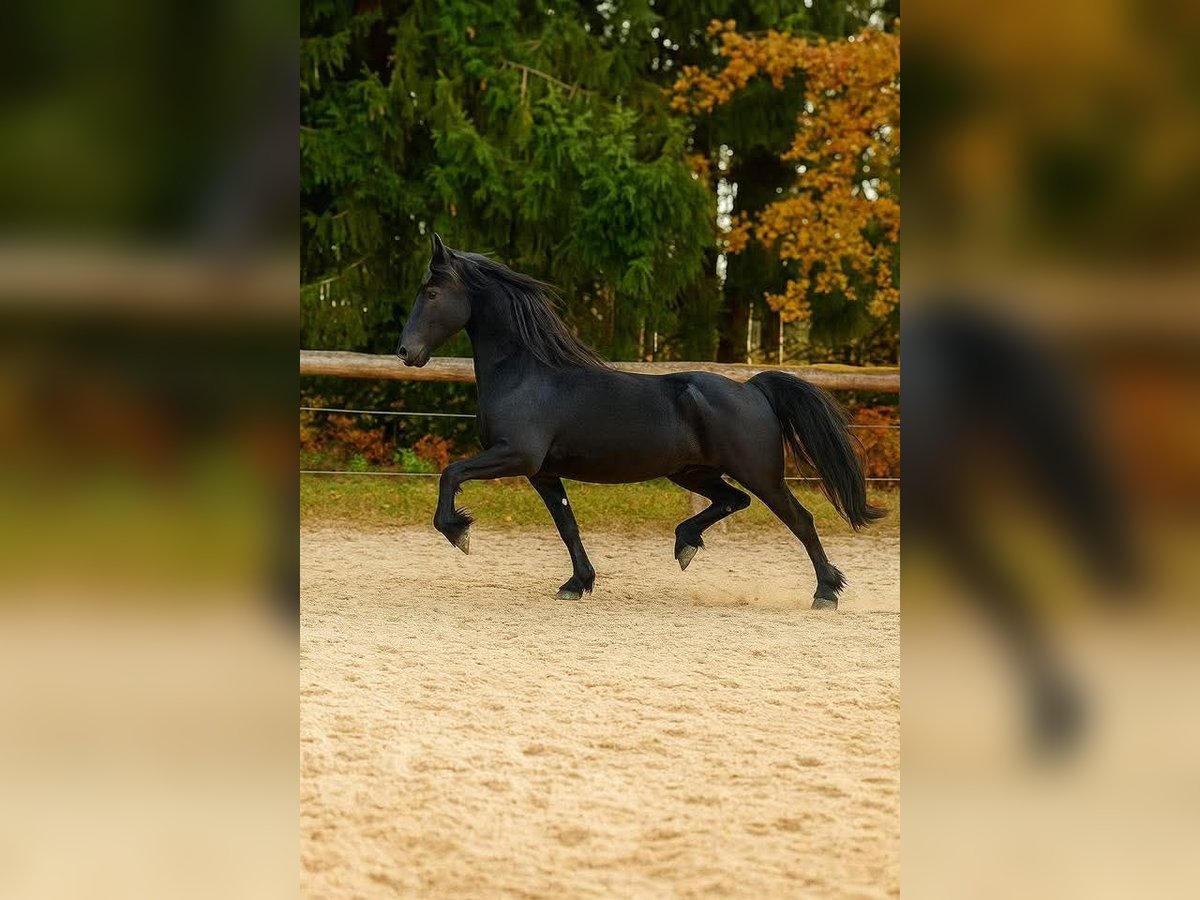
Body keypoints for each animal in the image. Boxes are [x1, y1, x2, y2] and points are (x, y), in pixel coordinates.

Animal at [396, 234, 885, 608]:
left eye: (432, 293)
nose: (405, 352)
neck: (526, 375)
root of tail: (752, 389)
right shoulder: (543, 472)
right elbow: (567, 526)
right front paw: (578, 584)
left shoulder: (516, 455)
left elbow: (450, 473)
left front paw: (458, 531)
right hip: (692, 473)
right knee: (733, 501)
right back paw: (686, 543)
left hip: (760, 474)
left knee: (800, 519)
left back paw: (826, 592)